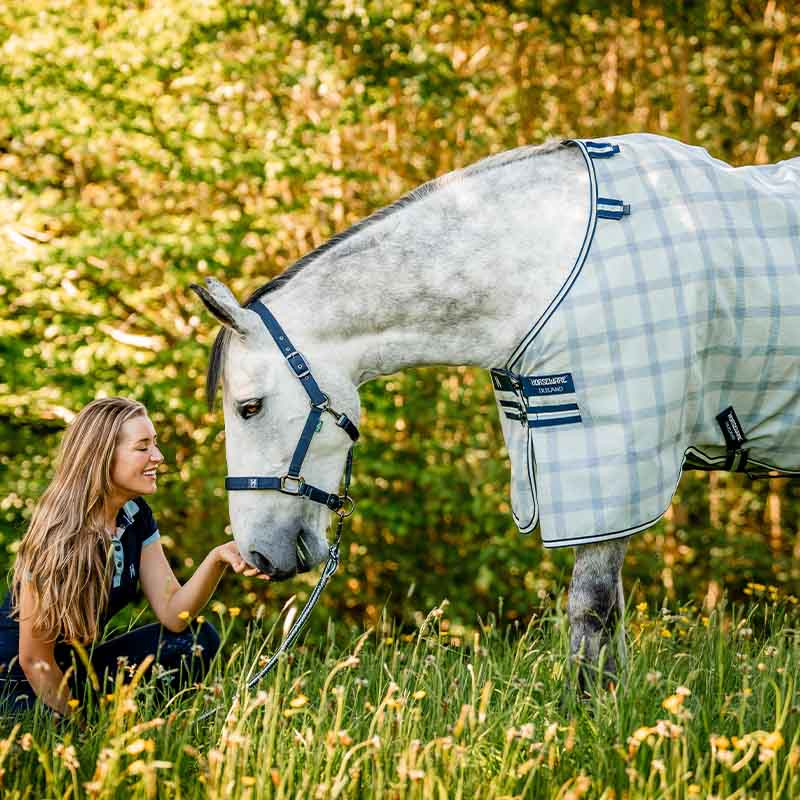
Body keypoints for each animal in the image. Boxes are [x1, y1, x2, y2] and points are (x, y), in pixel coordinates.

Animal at [190, 133, 800, 689]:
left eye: (249, 407)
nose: (255, 552)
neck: (540, 264)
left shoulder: (611, 464)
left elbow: (591, 609)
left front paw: (590, 718)